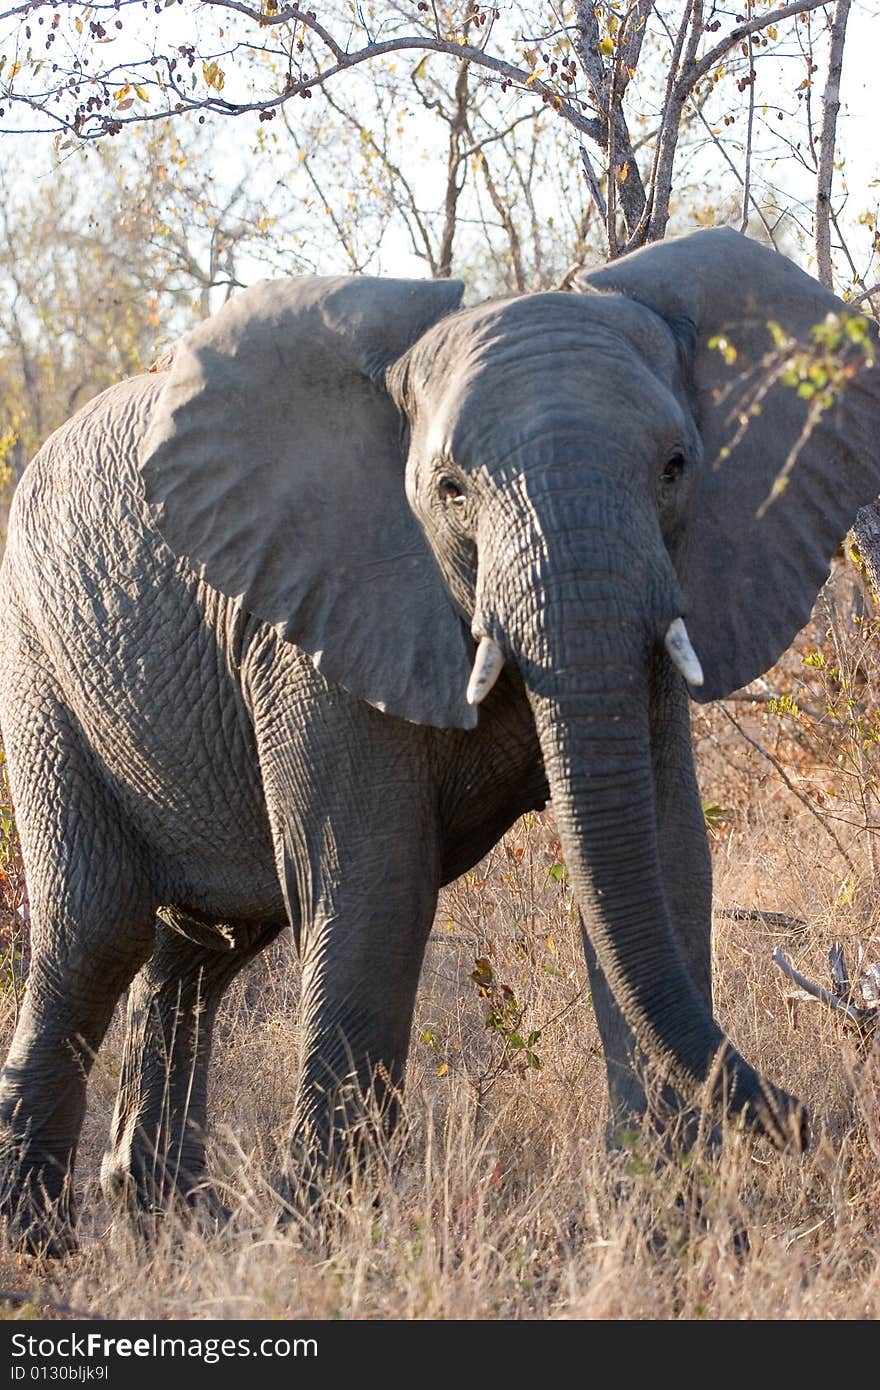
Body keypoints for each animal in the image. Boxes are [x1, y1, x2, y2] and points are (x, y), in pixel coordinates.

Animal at [1, 222, 878, 1256]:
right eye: (452, 489)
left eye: (675, 467)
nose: (827, 1124)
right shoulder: (321, 609)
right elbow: (373, 876)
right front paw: (321, 1240)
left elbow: (660, 859)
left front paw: (669, 1232)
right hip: (39, 662)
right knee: (97, 930)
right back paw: (43, 1240)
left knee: (201, 943)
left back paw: (169, 1218)